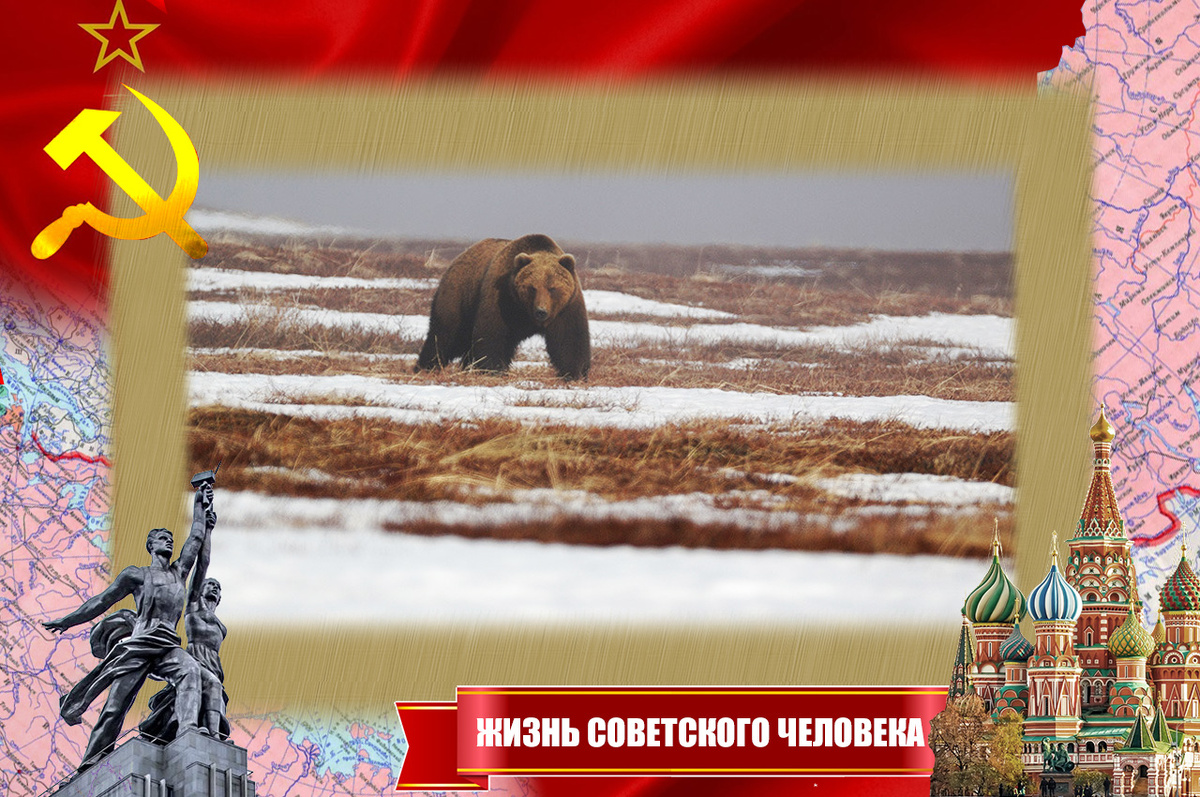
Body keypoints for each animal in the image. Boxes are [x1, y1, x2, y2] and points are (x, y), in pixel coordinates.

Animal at [416, 234, 590, 380]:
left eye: (552, 288)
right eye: (532, 288)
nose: (541, 311)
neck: (524, 311)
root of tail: (459, 258)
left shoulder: (566, 308)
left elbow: (570, 339)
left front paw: (575, 373)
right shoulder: (502, 299)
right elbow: (492, 334)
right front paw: (493, 370)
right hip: (458, 298)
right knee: (444, 336)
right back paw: (425, 366)